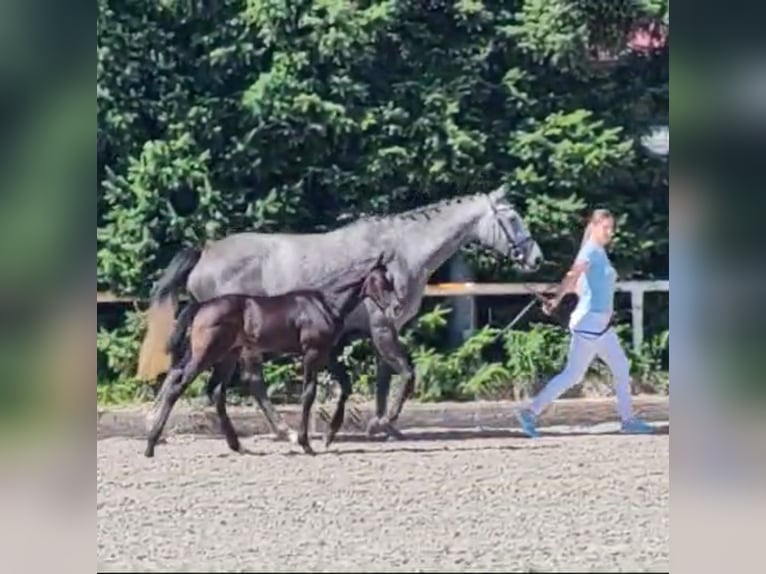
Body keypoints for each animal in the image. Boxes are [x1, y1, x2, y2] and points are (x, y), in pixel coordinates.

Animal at [146, 256, 396, 460]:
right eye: (381, 281)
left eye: (390, 281)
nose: (394, 308)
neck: (323, 304)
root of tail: (201, 306)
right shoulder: (312, 353)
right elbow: (308, 394)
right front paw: (306, 443)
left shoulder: (327, 353)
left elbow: (345, 385)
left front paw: (329, 435)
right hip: (206, 354)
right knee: (178, 386)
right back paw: (151, 444)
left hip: (227, 356)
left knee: (215, 391)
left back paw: (237, 445)